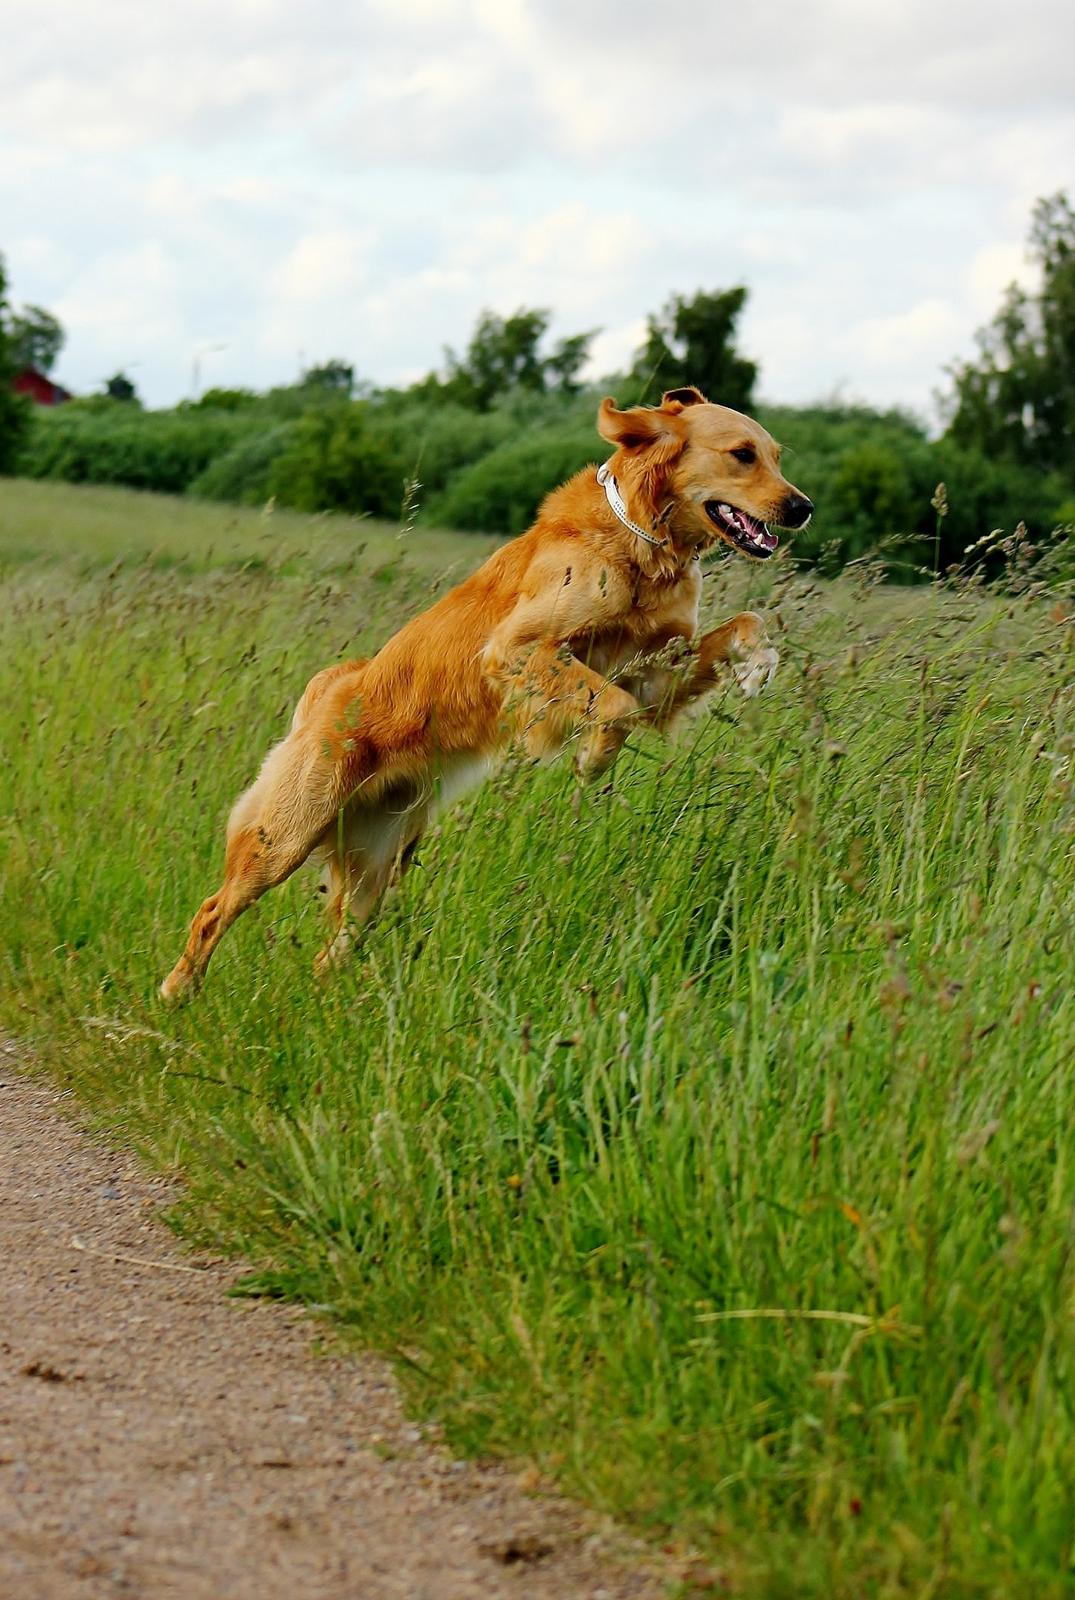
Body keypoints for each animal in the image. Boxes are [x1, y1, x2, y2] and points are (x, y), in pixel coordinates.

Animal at [159, 380, 809, 992]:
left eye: (778, 457)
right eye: (742, 454)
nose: (802, 507)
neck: (642, 542)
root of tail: (330, 689)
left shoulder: (656, 676)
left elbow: (739, 627)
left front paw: (758, 663)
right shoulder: (518, 648)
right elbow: (612, 705)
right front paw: (594, 758)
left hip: (379, 864)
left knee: (333, 949)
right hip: (287, 834)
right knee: (213, 910)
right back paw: (178, 992)